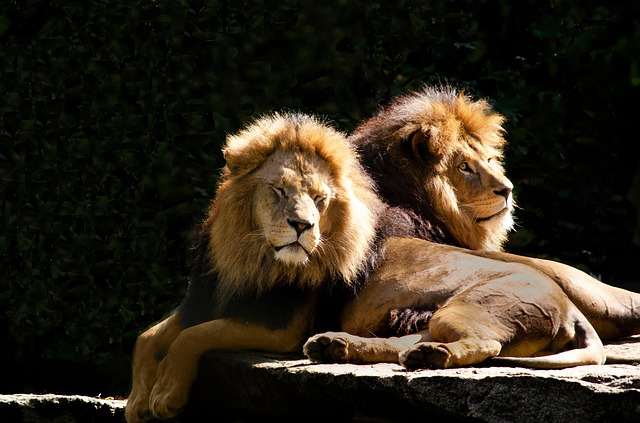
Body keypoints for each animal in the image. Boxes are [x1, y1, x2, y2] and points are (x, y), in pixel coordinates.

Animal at [125, 113, 384, 422]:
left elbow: (194, 335)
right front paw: (136, 401)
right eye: (279, 190)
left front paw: (165, 392)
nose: (303, 225)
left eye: (320, 199)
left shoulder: (281, 326)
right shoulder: (201, 302)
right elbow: (146, 337)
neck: (250, 258)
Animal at [304, 86, 640, 369]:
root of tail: (574, 313)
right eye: (465, 166)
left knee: (477, 343)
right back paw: (342, 345)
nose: (507, 189)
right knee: (414, 342)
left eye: (490, 159)